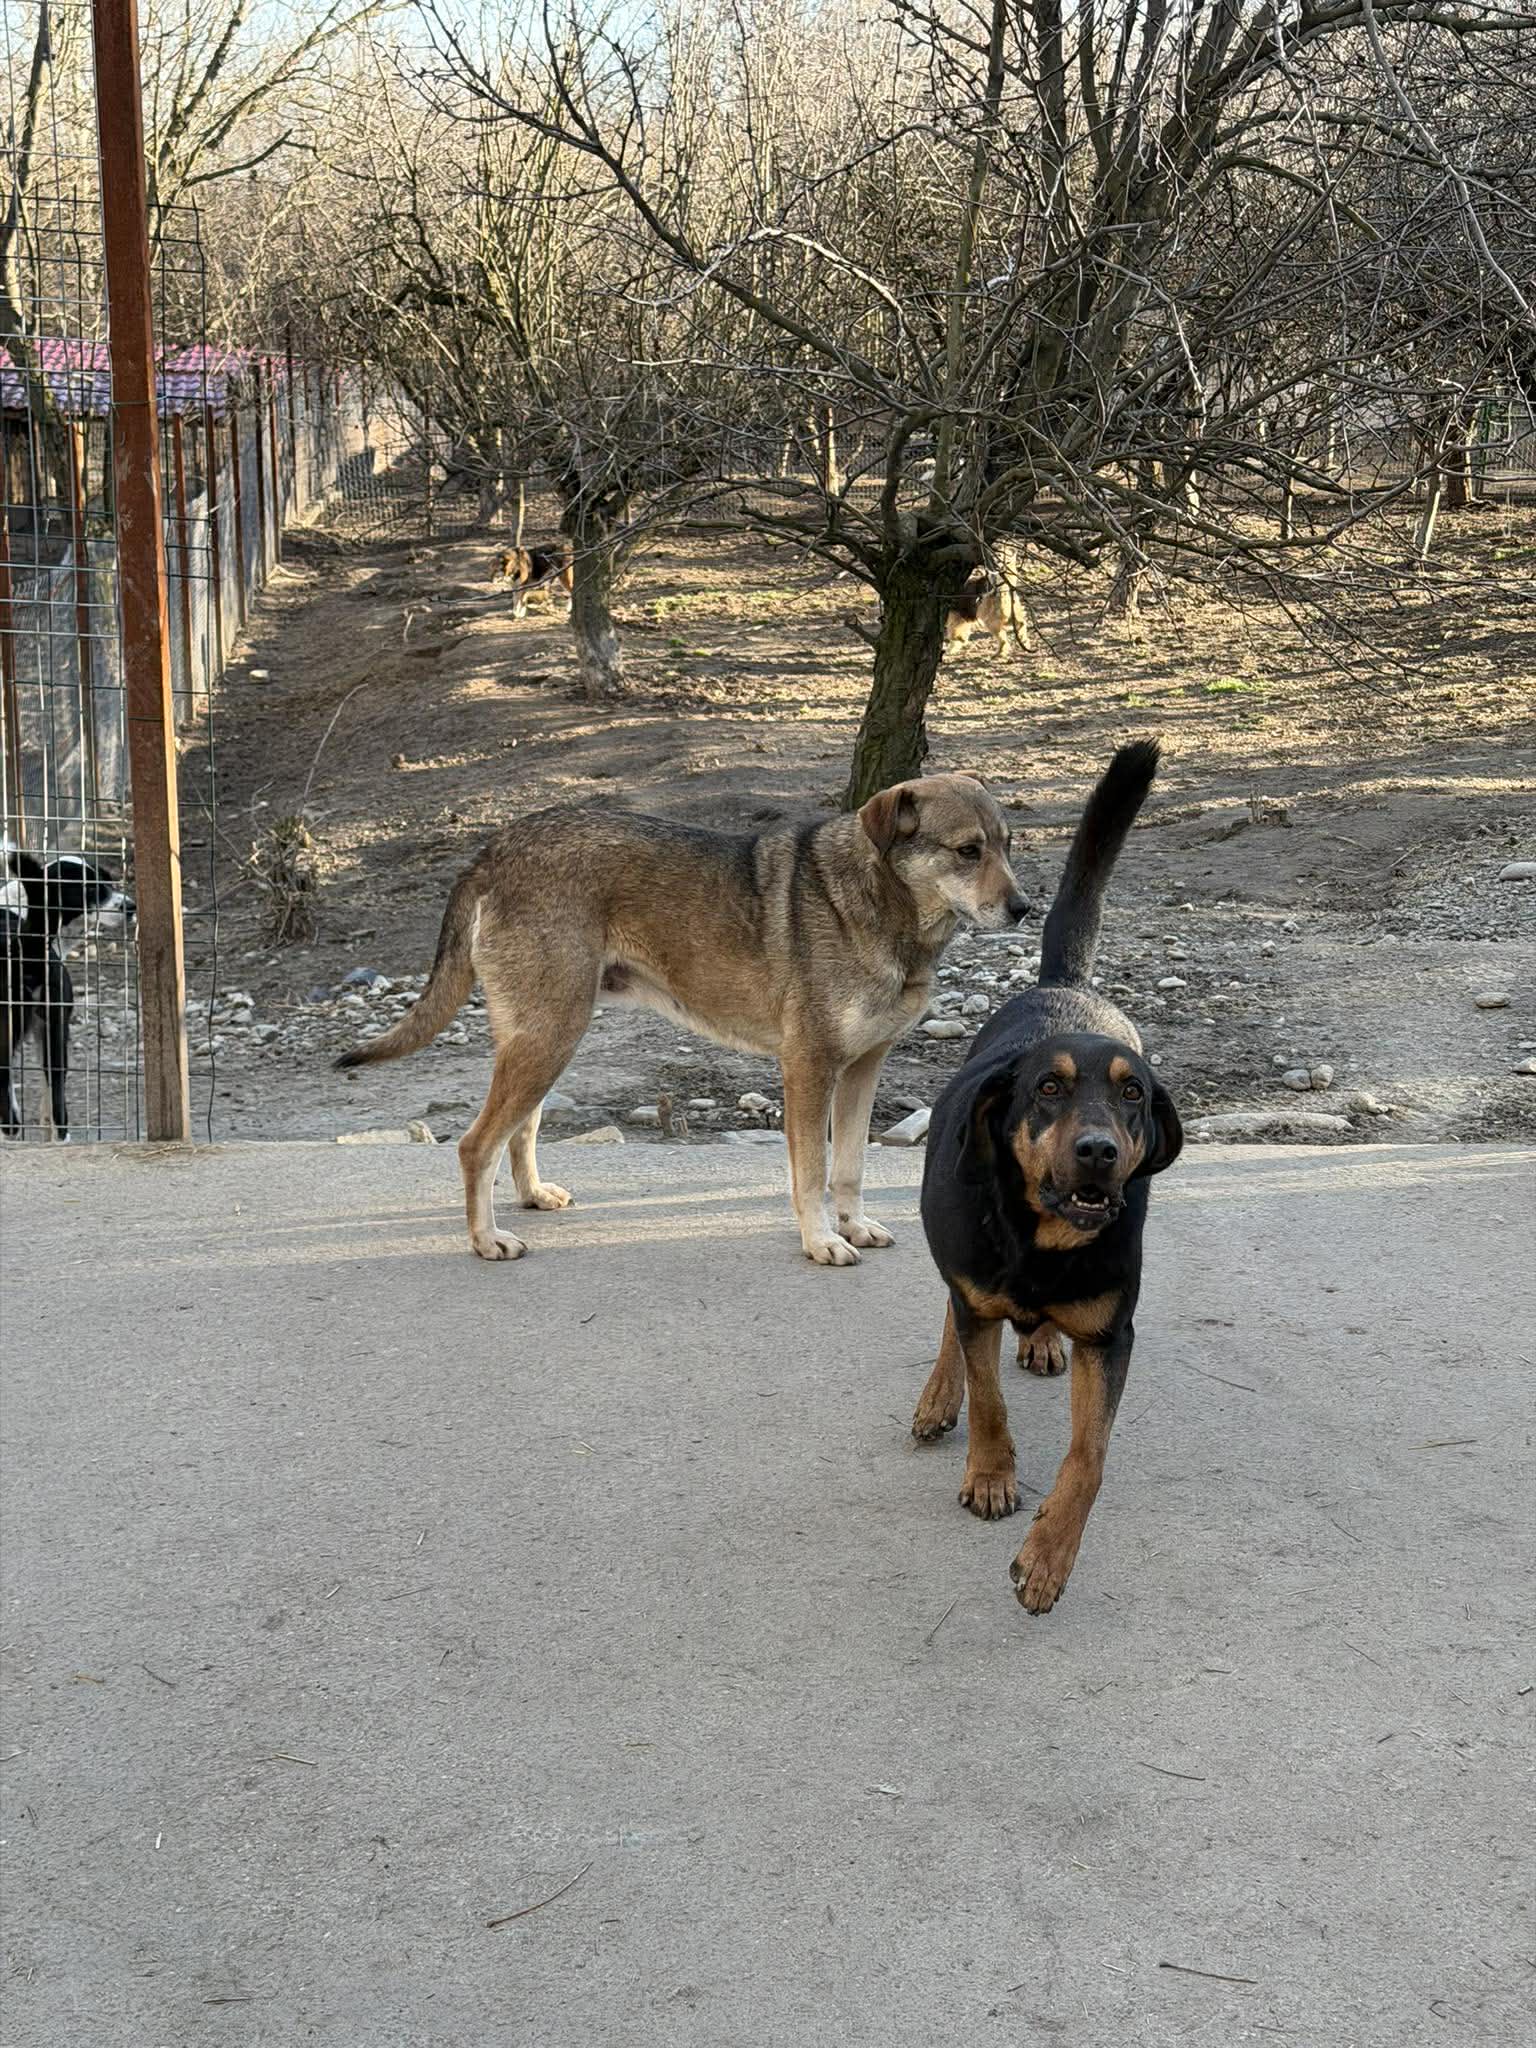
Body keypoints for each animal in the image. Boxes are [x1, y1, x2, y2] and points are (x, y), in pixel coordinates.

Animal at [335, 779, 1028, 1265]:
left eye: (1006, 846)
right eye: (968, 851)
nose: (1024, 908)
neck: (882, 906)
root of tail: (493, 849)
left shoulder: (862, 1070)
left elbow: (851, 1167)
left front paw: (854, 1226)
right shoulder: (809, 1070)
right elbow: (811, 1175)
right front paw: (822, 1242)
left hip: (548, 1040)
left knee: (519, 1129)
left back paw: (532, 1196)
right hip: (548, 1039)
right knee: (476, 1144)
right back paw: (486, 1240)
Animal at [910, 741, 1182, 1613]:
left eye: (1133, 1095)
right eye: (1050, 1090)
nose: (1098, 1150)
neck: (1043, 1238)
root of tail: (1064, 986)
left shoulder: (1110, 1335)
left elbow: (1088, 1458)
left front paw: (1049, 1556)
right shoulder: (976, 1282)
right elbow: (988, 1396)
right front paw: (993, 1475)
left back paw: (1036, 1342)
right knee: (956, 1317)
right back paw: (942, 1393)